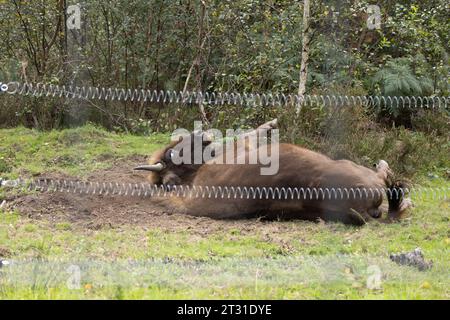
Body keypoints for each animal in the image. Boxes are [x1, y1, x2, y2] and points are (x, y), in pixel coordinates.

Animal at [134, 119, 412, 225]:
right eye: (174, 154)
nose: (204, 135)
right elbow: (249, 134)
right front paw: (269, 124)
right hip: (352, 168)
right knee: (384, 178)